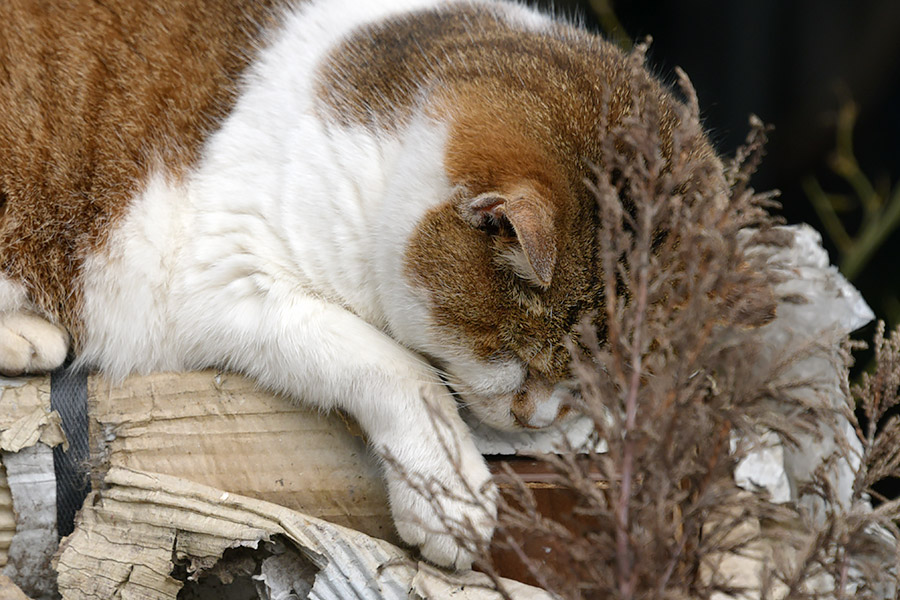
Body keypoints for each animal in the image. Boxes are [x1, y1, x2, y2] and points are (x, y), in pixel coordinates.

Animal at [0, 0, 720, 568]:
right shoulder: (226, 273)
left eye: (593, 381)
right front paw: (449, 489)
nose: (533, 418)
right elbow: (400, 369)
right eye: (517, 358)